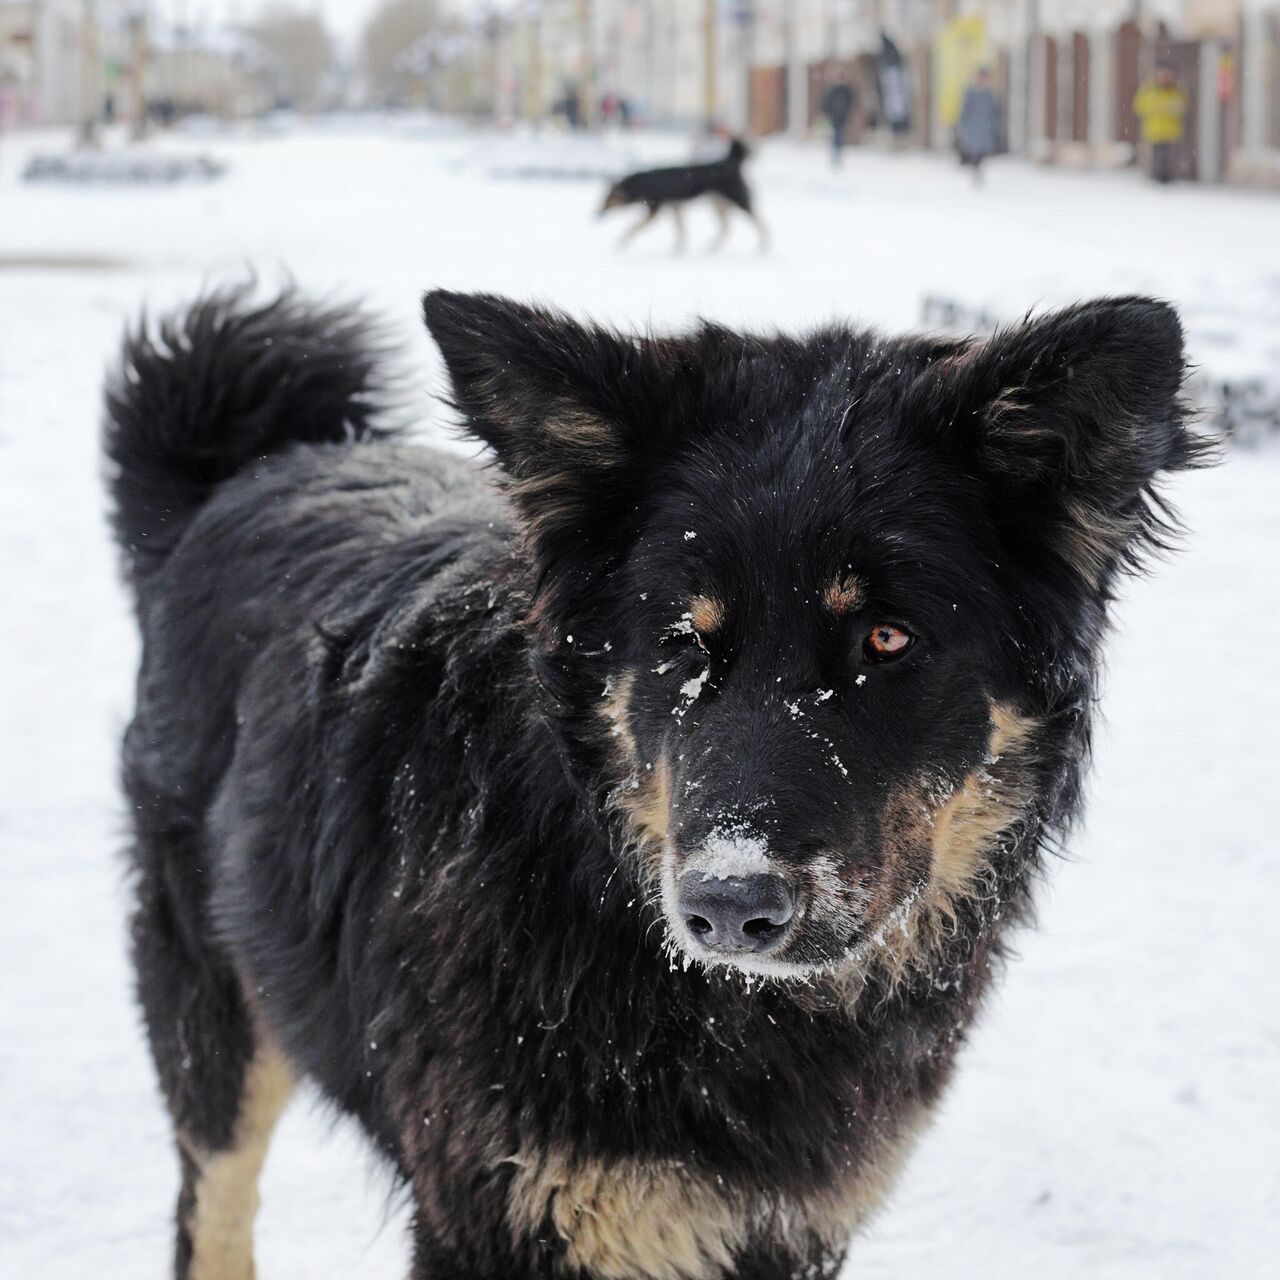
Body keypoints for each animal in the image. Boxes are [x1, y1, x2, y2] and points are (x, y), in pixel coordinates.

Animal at [104, 285, 1203, 1274]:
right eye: (682, 640)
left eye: (887, 639)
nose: (728, 905)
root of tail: (253, 472)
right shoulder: (497, 1217)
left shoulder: (778, 1229)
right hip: (217, 1022)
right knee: (212, 1216)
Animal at [601, 136, 768, 253]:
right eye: (603, 199)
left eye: (607, 199)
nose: (597, 214)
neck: (641, 184)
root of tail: (731, 162)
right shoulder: (675, 208)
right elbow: (681, 230)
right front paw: (679, 249)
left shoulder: (656, 209)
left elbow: (635, 227)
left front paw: (623, 240)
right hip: (718, 204)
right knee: (727, 227)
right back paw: (713, 247)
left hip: (738, 200)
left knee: (759, 222)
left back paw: (763, 244)